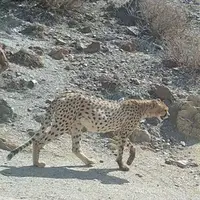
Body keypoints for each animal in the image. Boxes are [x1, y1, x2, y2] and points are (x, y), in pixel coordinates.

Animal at [6, 90, 169, 170]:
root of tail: (63, 94)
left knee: (75, 148)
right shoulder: (122, 132)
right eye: (165, 109)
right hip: (62, 125)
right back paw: (36, 163)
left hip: (75, 127)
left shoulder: (118, 131)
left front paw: (130, 159)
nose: (167, 114)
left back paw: (88, 161)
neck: (143, 108)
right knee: (39, 141)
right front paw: (122, 165)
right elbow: (121, 150)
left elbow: (131, 145)